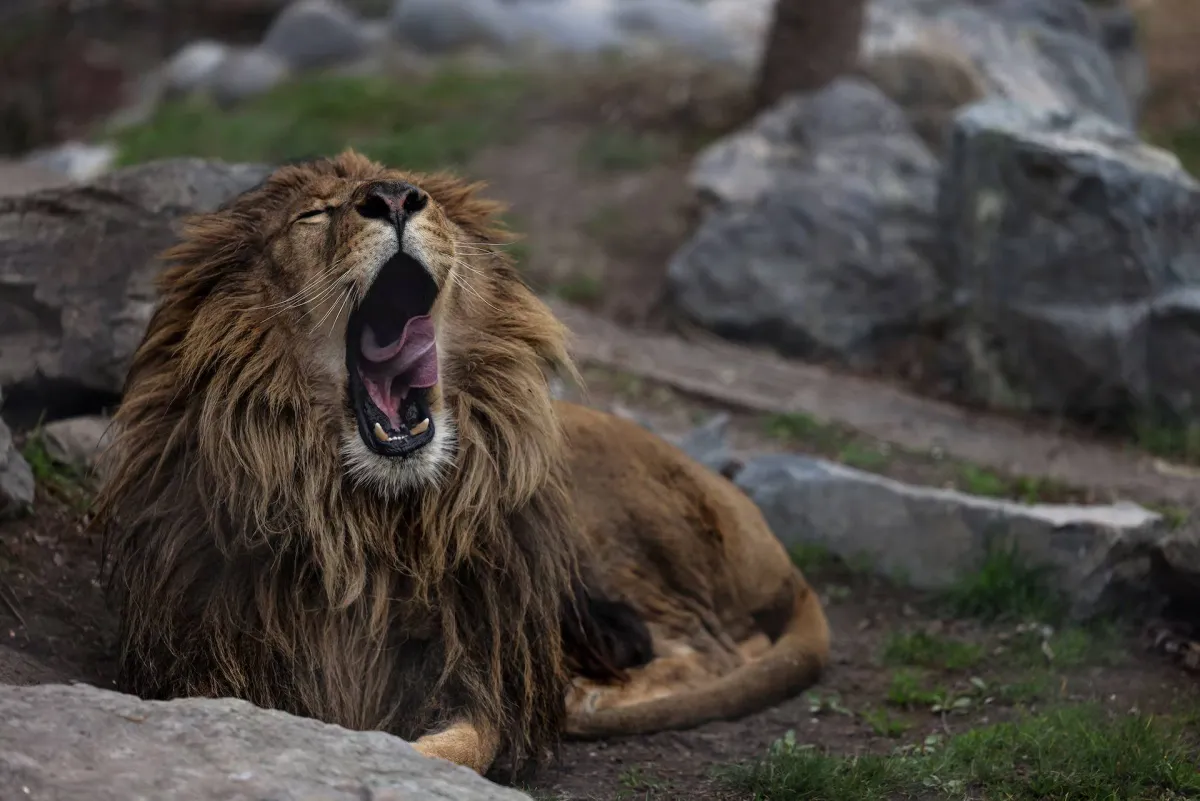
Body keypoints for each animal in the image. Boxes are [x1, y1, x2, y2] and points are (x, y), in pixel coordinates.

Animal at [93, 148, 830, 777]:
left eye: (426, 199)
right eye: (314, 214)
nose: (395, 197)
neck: (358, 517)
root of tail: (780, 553)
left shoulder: (474, 667)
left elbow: (460, 746)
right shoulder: (205, 660)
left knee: (723, 647)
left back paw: (586, 694)